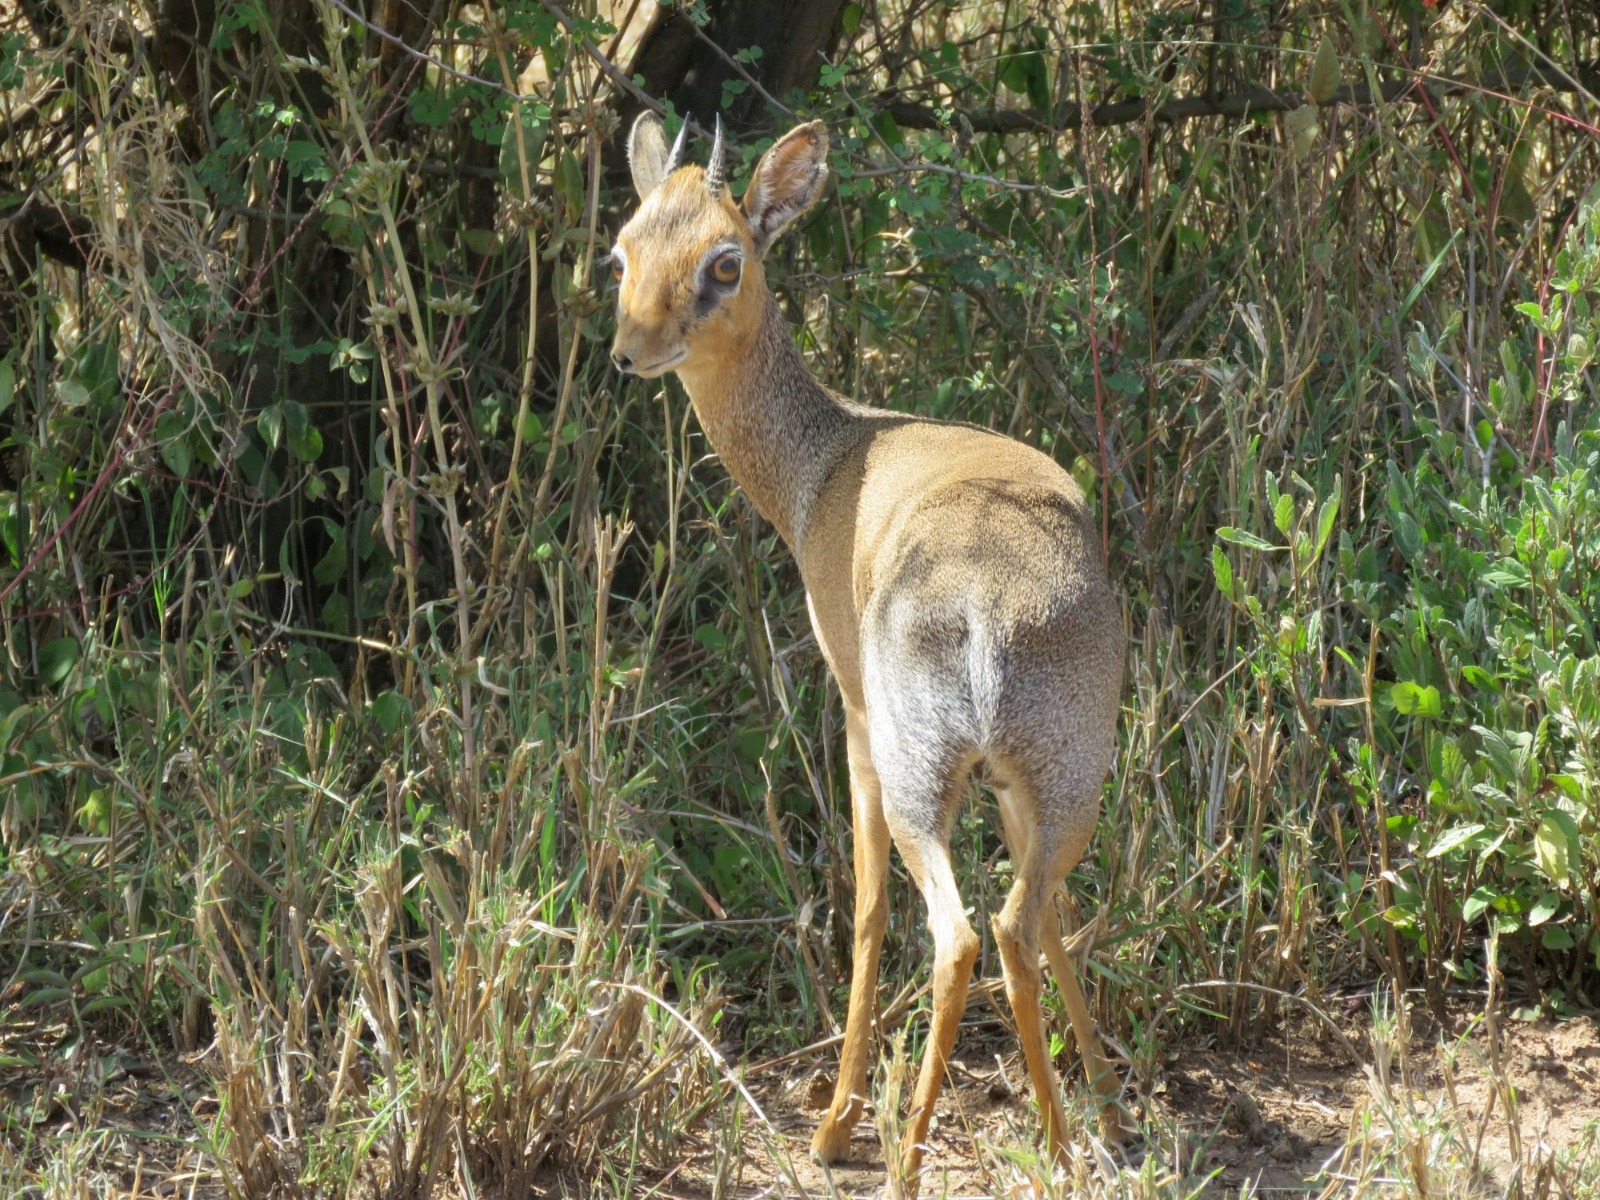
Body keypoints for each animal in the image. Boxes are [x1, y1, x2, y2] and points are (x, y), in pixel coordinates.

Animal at [610, 114, 1126, 1183]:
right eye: (624, 249)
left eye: (724, 260)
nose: (631, 351)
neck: (829, 460)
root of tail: (987, 603)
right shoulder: (1010, 788)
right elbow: (1054, 924)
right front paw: (1105, 1097)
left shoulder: (850, 710)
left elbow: (865, 905)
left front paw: (836, 1119)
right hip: (1065, 776)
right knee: (1020, 921)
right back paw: (1064, 1138)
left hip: (918, 768)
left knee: (956, 933)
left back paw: (890, 1151)